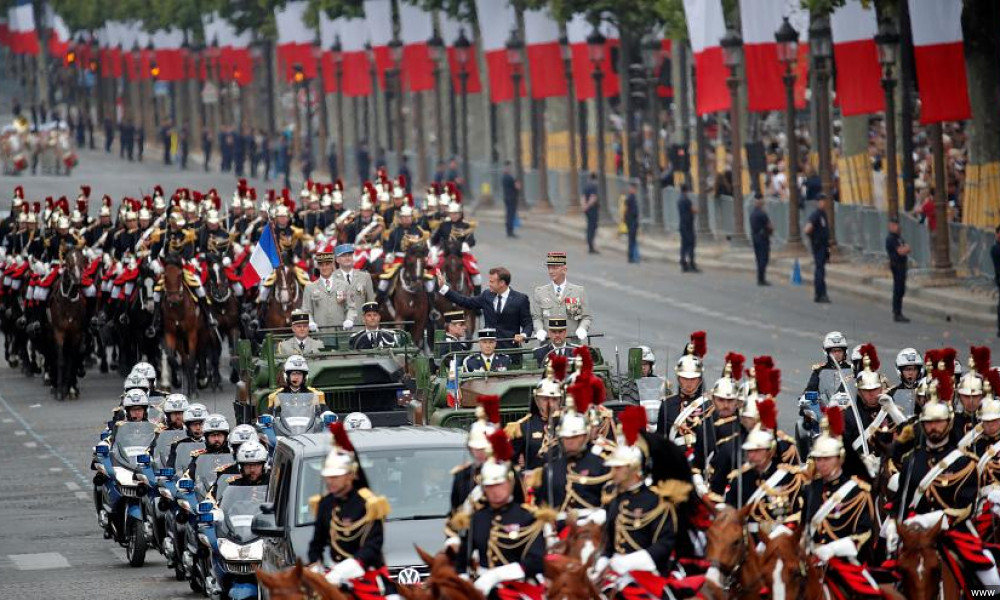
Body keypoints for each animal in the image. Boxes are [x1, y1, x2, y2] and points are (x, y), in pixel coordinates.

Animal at [47, 246, 88, 400]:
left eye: (82, 259)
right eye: (68, 260)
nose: (77, 279)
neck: (68, 301)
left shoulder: (76, 333)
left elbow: (71, 359)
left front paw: (69, 388)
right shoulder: (59, 332)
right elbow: (61, 360)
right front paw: (59, 390)